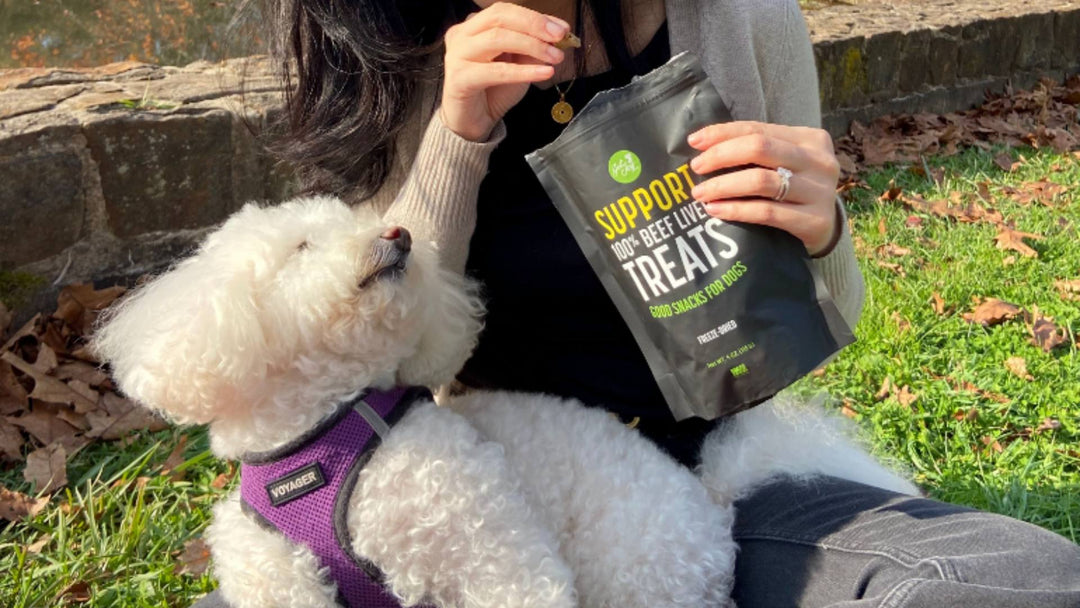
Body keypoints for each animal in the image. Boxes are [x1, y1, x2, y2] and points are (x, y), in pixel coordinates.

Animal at [95, 198, 743, 608]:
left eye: (363, 221)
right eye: (302, 246)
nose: (397, 234)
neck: (322, 437)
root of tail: (711, 498)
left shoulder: (491, 551)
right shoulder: (279, 579)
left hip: (635, 568)